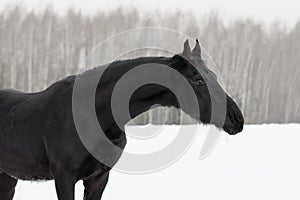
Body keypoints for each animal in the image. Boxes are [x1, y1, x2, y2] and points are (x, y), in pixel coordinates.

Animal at [0, 39, 244, 199]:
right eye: (198, 81)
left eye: (213, 76)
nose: (237, 118)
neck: (94, 116)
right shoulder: (64, 178)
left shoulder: (99, 179)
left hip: (8, 178)